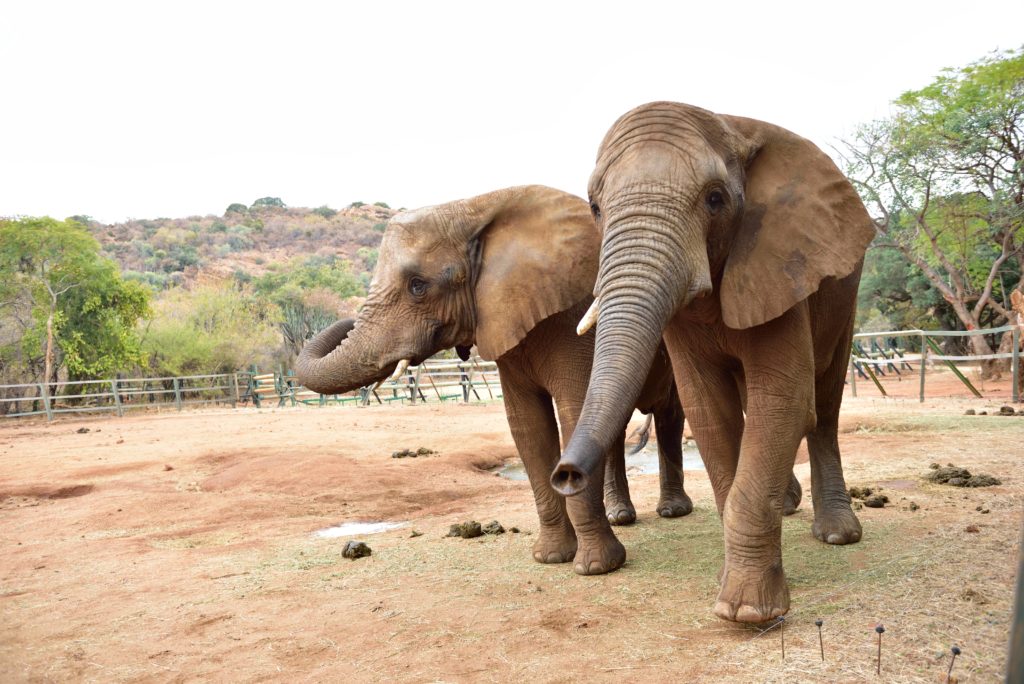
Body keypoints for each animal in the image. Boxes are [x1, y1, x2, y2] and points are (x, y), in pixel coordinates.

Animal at [295, 185, 706, 576]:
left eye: (417, 285)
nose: (345, 319)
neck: (473, 210)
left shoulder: (571, 318)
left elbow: (573, 411)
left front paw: (596, 568)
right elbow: (527, 425)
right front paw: (551, 558)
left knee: (669, 416)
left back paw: (672, 511)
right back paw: (622, 517)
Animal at [552, 102, 875, 622]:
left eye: (715, 199)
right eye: (595, 208)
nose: (565, 474)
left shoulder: (777, 259)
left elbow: (782, 400)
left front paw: (746, 612)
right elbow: (708, 408)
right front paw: (735, 588)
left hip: (844, 290)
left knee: (825, 401)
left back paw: (837, 534)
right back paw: (790, 506)